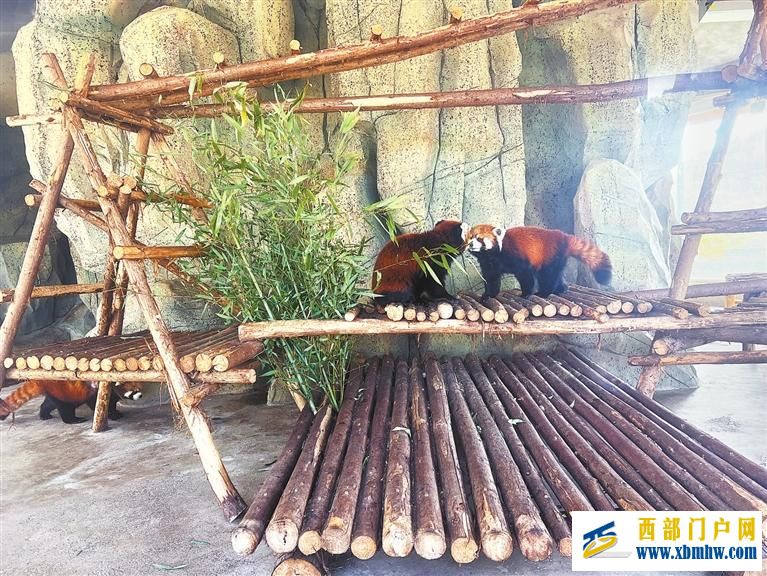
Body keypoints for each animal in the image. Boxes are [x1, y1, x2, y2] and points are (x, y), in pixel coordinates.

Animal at [0, 380, 143, 426]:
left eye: (138, 389)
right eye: (133, 391)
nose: (141, 395)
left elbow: (112, 402)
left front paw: (116, 412)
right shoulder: (95, 391)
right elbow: (95, 404)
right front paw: (112, 415)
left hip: (56, 393)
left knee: (48, 404)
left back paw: (44, 415)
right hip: (64, 393)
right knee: (65, 409)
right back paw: (74, 420)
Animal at [462, 224, 612, 300]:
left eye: (479, 238)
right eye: (470, 237)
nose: (471, 245)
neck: (492, 255)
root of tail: (563, 236)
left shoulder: (515, 256)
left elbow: (525, 275)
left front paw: (525, 293)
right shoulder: (489, 264)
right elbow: (491, 279)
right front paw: (488, 294)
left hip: (548, 255)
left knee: (547, 276)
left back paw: (544, 293)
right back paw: (561, 288)